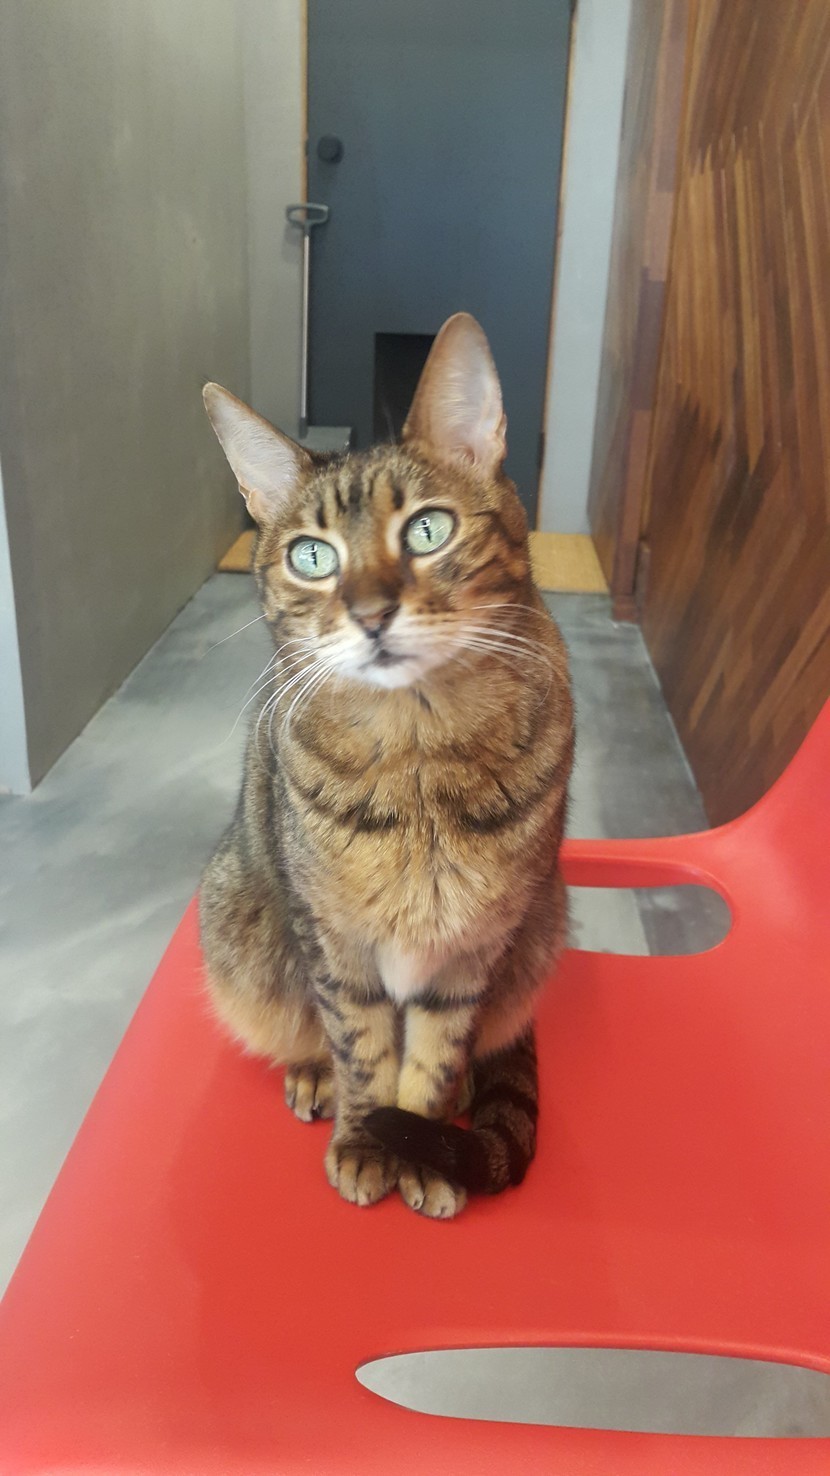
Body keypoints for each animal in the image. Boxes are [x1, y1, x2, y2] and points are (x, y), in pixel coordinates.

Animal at [201, 312, 573, 1218]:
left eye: (428, 530)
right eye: (310, 556)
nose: (371, 614)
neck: (416, 754)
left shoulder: (477, 946)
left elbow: (434, 1056)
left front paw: (426, 1148)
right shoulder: (335, 941)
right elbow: (362, 1047)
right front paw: (369, 1140)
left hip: (541, 929)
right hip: (241, 927)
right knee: (304, 1027)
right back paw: (310, 1075)